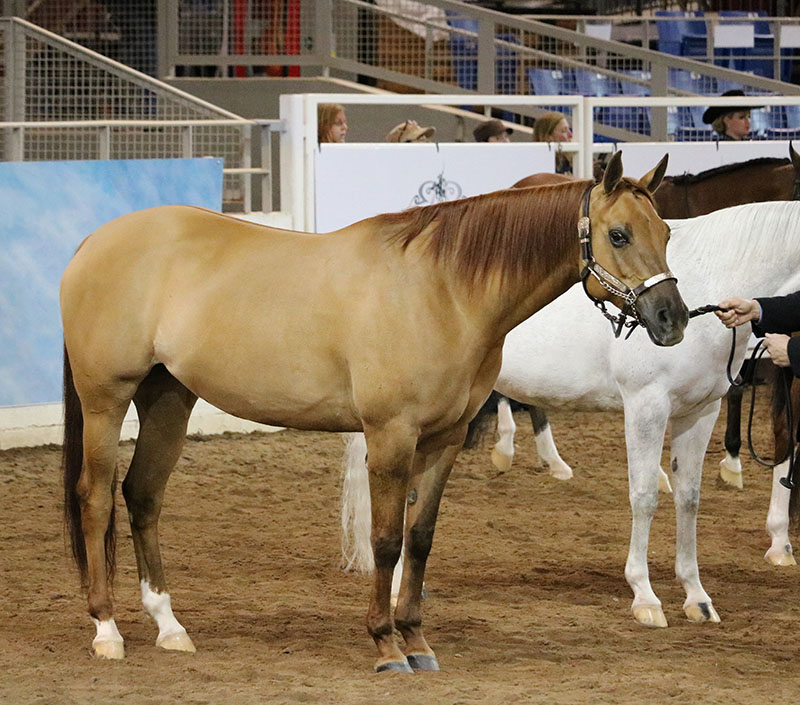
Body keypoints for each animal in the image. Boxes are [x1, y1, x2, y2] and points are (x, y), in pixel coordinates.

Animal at [62, 150, 688, 672]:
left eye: (666, 231)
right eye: (619, 234)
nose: (672, 319)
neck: (442, 290)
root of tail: (93, 241)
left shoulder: (444, 438)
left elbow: (421, 538)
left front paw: (417, 640)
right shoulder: (391, 435)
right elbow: (386, 540)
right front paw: (386, 645)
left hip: (168, 397)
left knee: (143, 495)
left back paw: (169, 626)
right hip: (106, 399)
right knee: (96, 499)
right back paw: (107, 630)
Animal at [344, 202, 800, 628]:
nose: (672, 322)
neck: (713, 270)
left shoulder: (700, 411)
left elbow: (689, 498)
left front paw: (696, 597)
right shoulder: (647, 405)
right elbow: (645, 496)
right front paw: (645, 597)